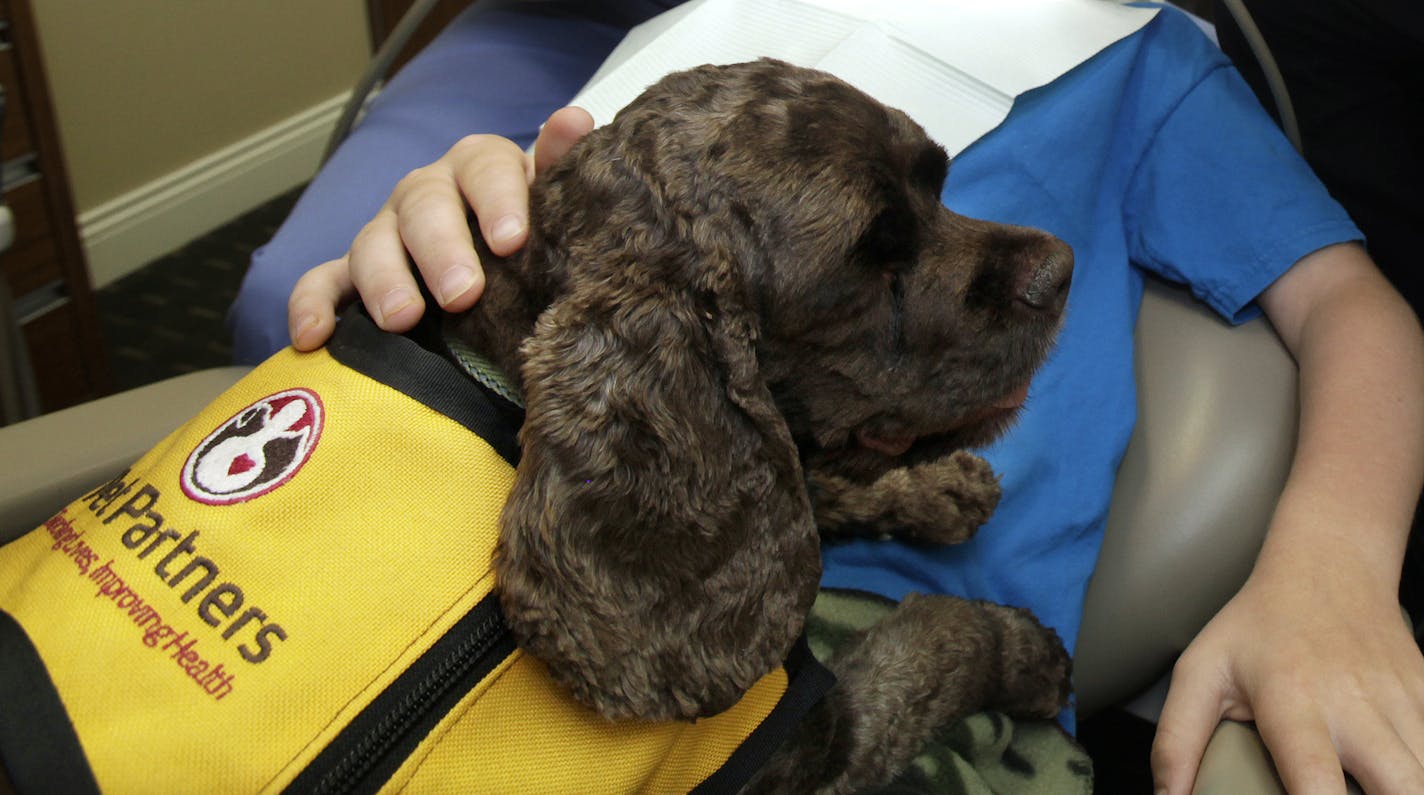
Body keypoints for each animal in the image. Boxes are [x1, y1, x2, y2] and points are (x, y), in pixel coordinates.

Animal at [449, 59, 1070, 792]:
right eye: (871, 270)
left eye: (937, 187)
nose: (1060, 271)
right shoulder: (814, 750)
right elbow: (931, 639)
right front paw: (1021, 650)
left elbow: (803, 479)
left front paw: (936, 487)